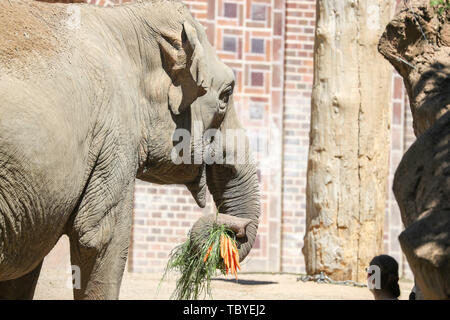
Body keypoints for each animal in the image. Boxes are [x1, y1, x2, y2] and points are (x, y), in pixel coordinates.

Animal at [0, 0, 260, 300]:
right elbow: (102, 238)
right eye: (226, 95)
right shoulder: (114, 137)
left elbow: (24, 269)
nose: (235, 229)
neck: (124, 22)